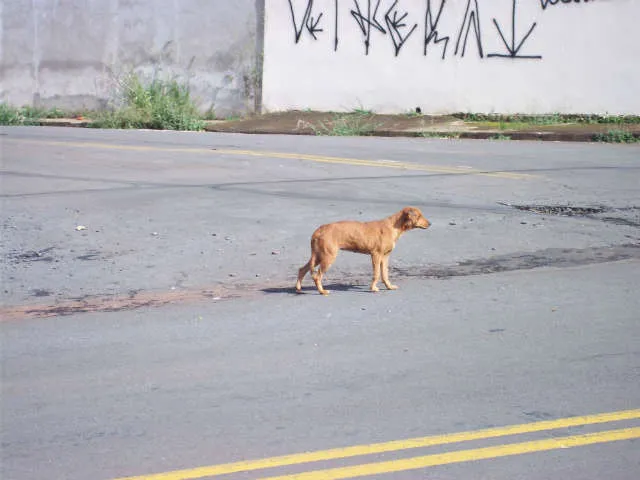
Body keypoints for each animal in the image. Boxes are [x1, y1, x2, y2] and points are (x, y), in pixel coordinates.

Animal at [296, 207, 430, 294]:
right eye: (419, 216)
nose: (430, 223)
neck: (393, 227)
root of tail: (319, 230)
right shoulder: (376, 255)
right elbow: (377, 274)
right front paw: (373, 289)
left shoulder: (385, 256)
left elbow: (385, 274)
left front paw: (389, 287)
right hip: (328, 256)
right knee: (317, 276)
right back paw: (322, 291)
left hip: (319, 255)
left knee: (302, 269)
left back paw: (298, 289)